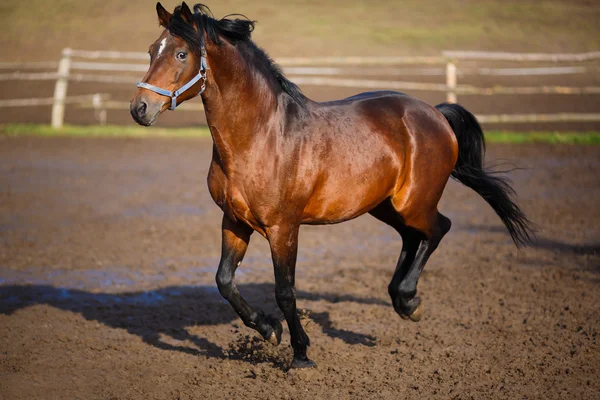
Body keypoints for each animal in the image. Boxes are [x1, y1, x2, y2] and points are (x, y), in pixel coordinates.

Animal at [131, 1, 536, 368]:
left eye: (181, 53)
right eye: (151, 50)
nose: (139, 109)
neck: (259, 137)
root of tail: (435, 113)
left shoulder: (283, 227)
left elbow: (285, 291)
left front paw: (301, 354)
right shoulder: (234, 220)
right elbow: (224, 281)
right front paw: (269, 330)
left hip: (414, 202)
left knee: (438, 229)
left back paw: (409, 301)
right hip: (383, 206)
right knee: (412, 238)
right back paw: (400, 298)